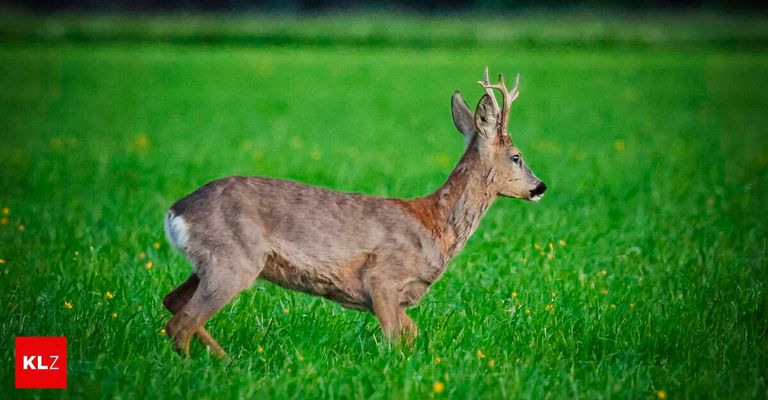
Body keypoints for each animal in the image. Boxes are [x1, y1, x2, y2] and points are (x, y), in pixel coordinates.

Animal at [162, 67, 547, 358]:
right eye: (517, 156)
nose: (540, 187)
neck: (435, 225)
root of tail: (175, 213)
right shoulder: (382, 278)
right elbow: (397, 338)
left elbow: (412, 333)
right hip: (233, 259)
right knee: (182, 323)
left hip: (210, 263)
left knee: (172, 304)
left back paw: (226, 361)